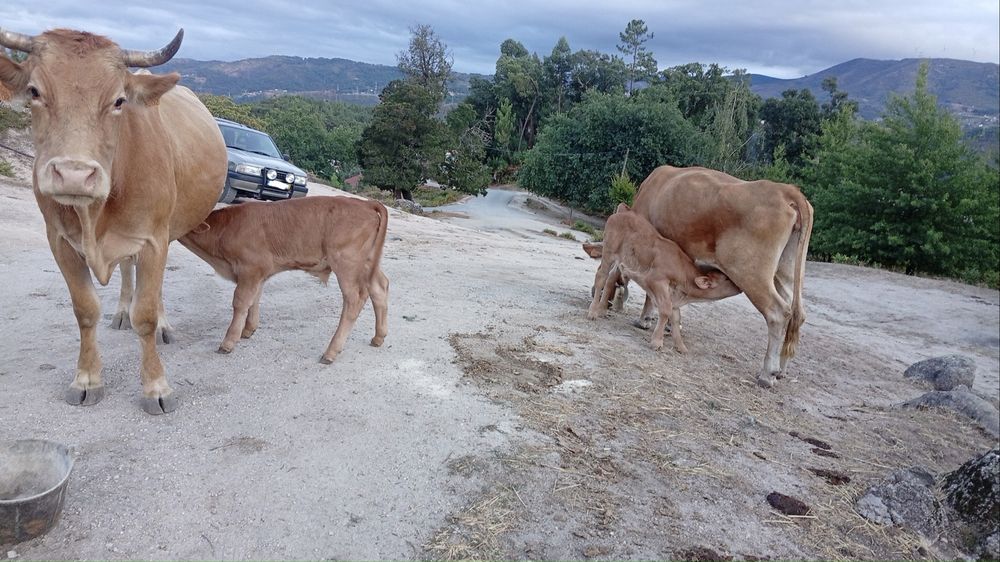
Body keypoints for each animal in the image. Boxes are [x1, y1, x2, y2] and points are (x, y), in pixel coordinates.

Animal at [0, 27, 228, 414]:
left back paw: (162, 324)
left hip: (167, 231)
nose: (74, 175)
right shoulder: (59, 242)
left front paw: (156, 386)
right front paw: (87, 379)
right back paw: (121, 311)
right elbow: (85, 309)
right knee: (125, 270)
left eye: (119, 100)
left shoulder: (153, 239)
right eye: (34, 91)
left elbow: (146, 314)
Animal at [178, 196, 390, 363]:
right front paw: (249, 330)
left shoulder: (250, 269)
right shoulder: (259, 274)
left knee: (354, 299)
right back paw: (378, 337)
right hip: (367, 263)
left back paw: (331, 352)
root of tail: (365, 203)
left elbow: (241, 302)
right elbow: (254, 299)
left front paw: (229, 342)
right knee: (379, 287)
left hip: (346, 263)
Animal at [587, 204, 742, 353]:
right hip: (609, 250)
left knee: (610, 278)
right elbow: (666, 310)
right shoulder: (656, 281)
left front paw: (681, 347)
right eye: (727, 279)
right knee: (601, 276)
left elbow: (675, 318)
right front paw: (657, 342)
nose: (739, 287)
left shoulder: (674, 295)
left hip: (620, 260)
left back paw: (601, 310)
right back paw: (593, 312)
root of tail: (625, 211)